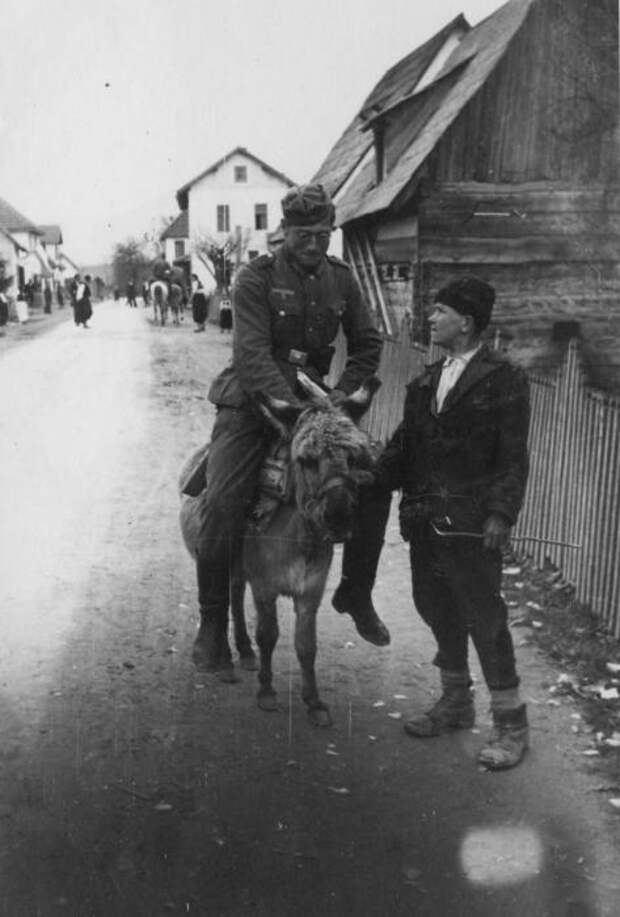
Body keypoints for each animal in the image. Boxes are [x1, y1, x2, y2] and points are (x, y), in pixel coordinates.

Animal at [179, 376, 378, 728]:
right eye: (306, 459)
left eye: (355, 458)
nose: (339, 518)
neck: (301, 538)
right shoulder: (265, 587)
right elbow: (269, 634)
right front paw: (267, 692)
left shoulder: (310, 593)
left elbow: (307, 645)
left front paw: (314, 702)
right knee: (221, 601)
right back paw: (221, 658)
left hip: (239, 568)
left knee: (233, 597)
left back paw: (244, 653)